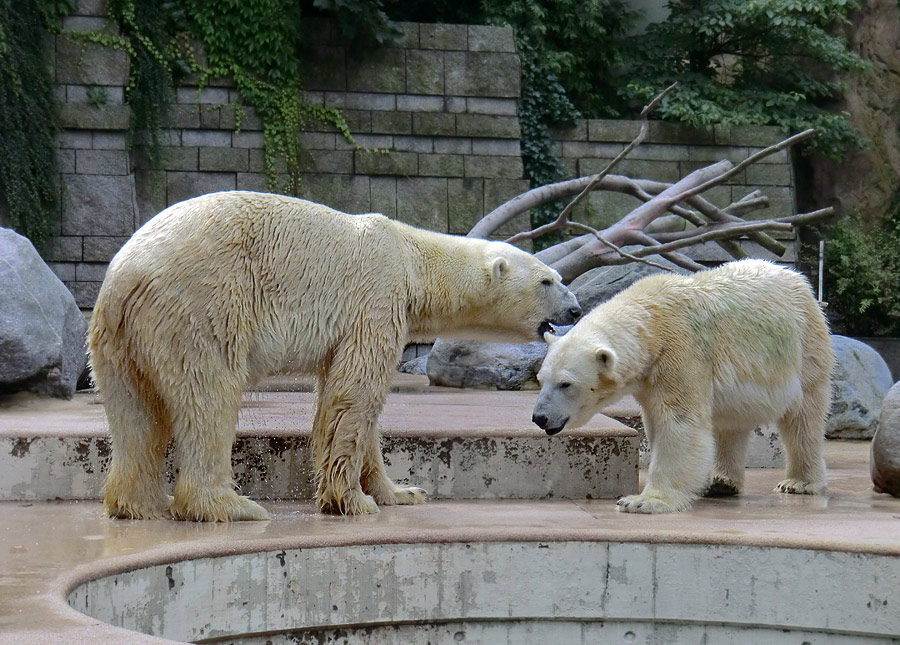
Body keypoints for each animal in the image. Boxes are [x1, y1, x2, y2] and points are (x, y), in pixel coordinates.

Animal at [88, 190, 580, 520]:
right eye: (548, 280)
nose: (575, 309)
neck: (411, 256)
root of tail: (127, 275)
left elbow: (352, 402)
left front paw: (400, 492)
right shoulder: (377, 297)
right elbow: (355, 393)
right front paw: (352, 501)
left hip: (117, 338)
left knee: (135, 413)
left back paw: (140, 504)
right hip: (200, 305)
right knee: (208, 396)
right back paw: (231, 505)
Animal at [532, 258, 832, 512]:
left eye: (565, 383)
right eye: (541, 380)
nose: (539, 417)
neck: (651, 321)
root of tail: (796, 277)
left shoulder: (681, 353)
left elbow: (679, 424)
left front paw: (643, 501)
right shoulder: (649, 377)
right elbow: (657, 423)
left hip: (805, 346)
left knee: (804, 416)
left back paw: (799, 482)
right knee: (731, 422)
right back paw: (721, 481)